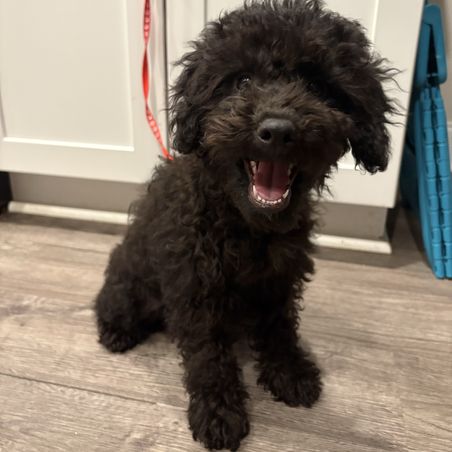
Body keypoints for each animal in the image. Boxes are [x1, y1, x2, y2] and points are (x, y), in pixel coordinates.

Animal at [95, 0, 394, 450]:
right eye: (242, 80)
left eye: (316, 84)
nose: (278, 130)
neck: (247, 226)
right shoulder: (195, 288)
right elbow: (208, 357)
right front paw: (219, 413)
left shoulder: (280, 279)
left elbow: (281, 327)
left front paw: (290, 373)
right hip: (132, 282)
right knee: (110, 302)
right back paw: (116, 331)